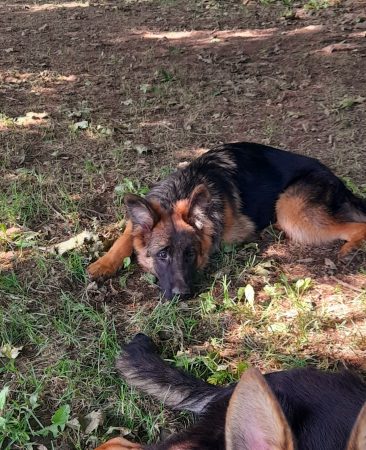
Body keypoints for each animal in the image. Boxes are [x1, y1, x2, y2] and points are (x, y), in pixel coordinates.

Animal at [86, 142, 366, 298]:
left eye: (190, 254)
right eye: (162, 254)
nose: (182, 296)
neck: (181, 190)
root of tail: (335, 178)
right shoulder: (138, 220)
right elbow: (125, 238)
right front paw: (103, 264)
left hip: (291, 211)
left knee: (357, 226)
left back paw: (350, 249)